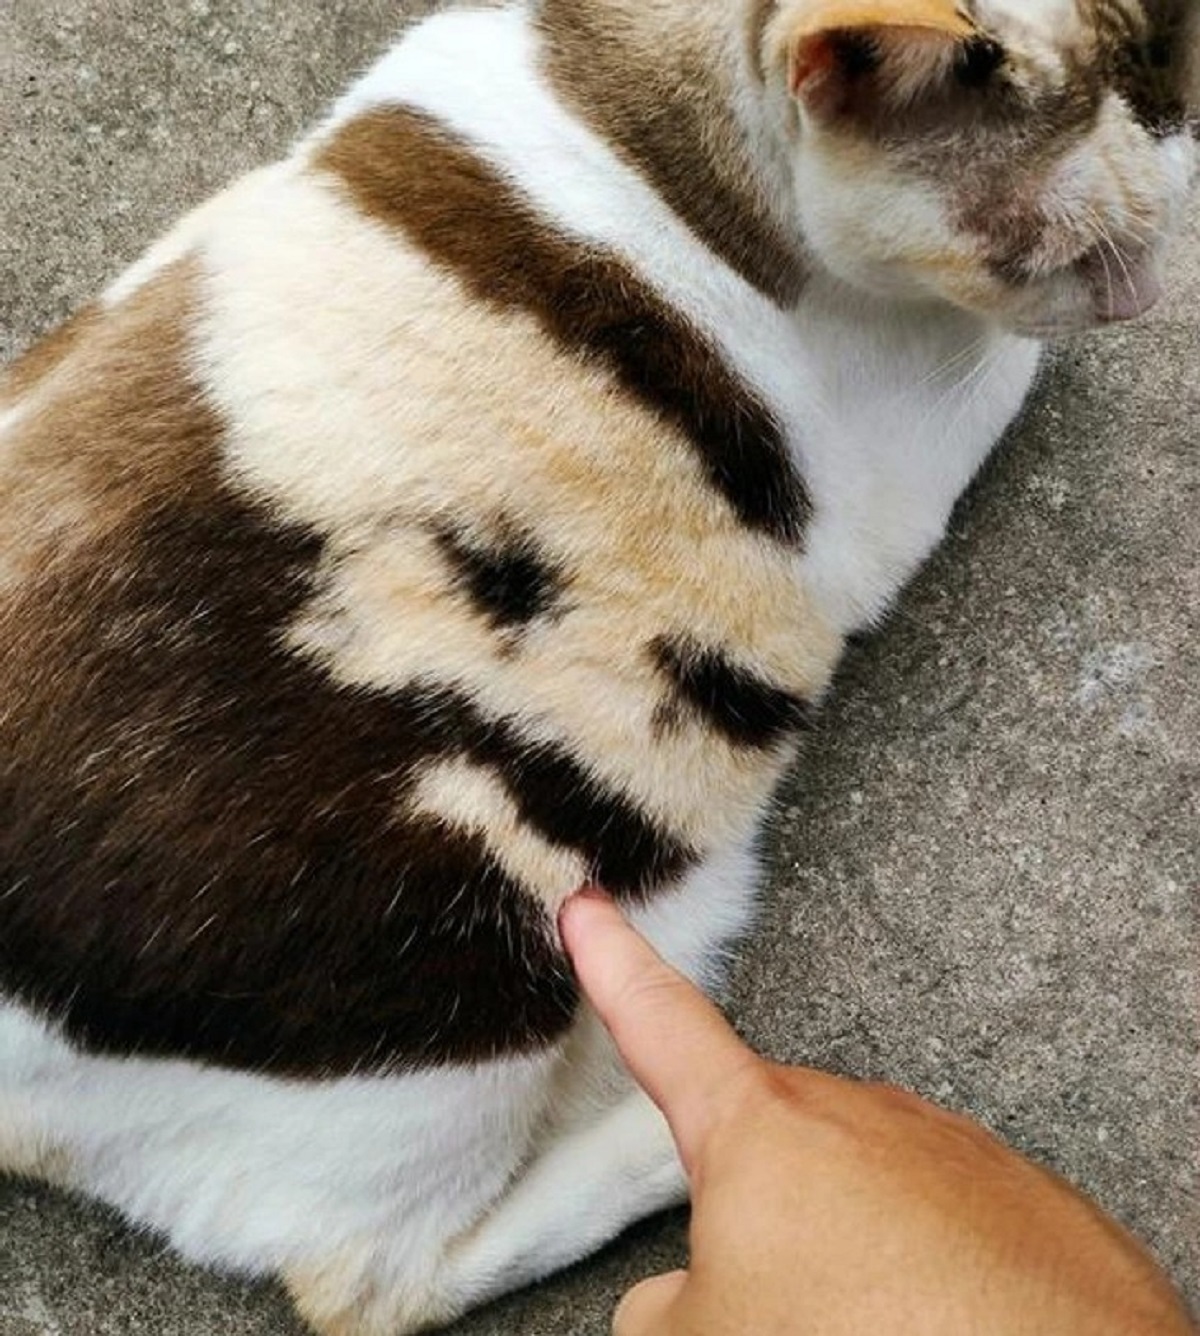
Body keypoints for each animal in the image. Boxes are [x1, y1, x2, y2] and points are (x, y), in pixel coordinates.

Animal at [0, 0, 1191, 1330]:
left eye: (1175, 72)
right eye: (1053, 240)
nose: (1173, 192)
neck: (632, 116)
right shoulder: (916, 434)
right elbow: (1009, 361)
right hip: (451, 1010)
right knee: (377, 1277)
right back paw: (672, 1138)